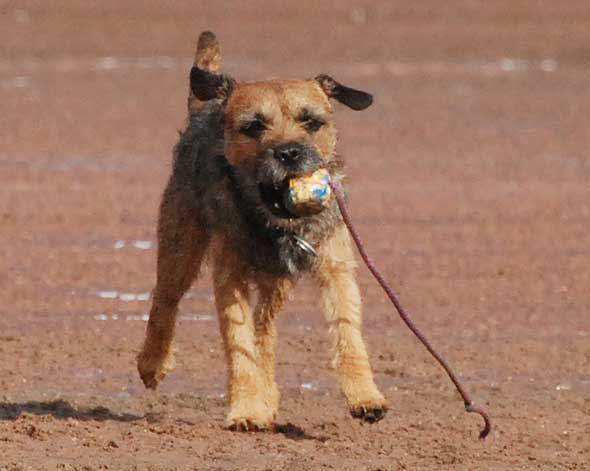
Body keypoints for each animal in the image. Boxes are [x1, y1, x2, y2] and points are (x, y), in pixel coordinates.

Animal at [137, 31, 388, 430]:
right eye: (254, 126)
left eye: (311, 121)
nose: (289, 153)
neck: (276, 223)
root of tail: (204, 108)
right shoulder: (230, 277)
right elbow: (239, 344)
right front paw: (246, 408)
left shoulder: (335, 269)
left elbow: (348, 334)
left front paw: (366, 397)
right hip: (180, 245)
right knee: (165, 299)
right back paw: (152, 363)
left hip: (277, 282)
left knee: (265, 330)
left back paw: (268, 391)